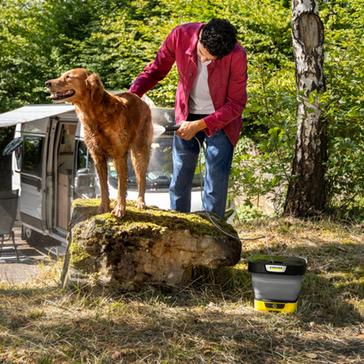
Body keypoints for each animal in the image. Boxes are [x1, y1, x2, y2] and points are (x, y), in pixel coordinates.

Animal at [45, 67, 154, 216]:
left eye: (68, 77)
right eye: (62, 75)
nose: (47, 83)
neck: (93, 115)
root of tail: (142, 102)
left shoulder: (119, 155)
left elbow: (121, 185)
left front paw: (120, 208)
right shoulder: (97, 156)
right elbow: (103, 186)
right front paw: (104, 207)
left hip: (139, 151)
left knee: (141, 178)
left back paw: (141, 202)